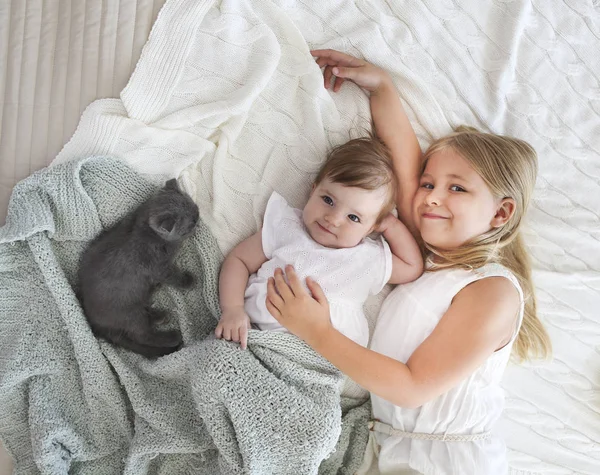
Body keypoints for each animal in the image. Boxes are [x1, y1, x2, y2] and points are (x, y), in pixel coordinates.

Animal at [76, 178, 199, 356]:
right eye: (190, 225)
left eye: (197, 209)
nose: (198, 220)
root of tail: (92, 320)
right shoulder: (159, 267)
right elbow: (173, 276)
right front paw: (188, 281)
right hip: (129, 312)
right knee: (142, 335)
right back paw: (171, 336)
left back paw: (159, 315)